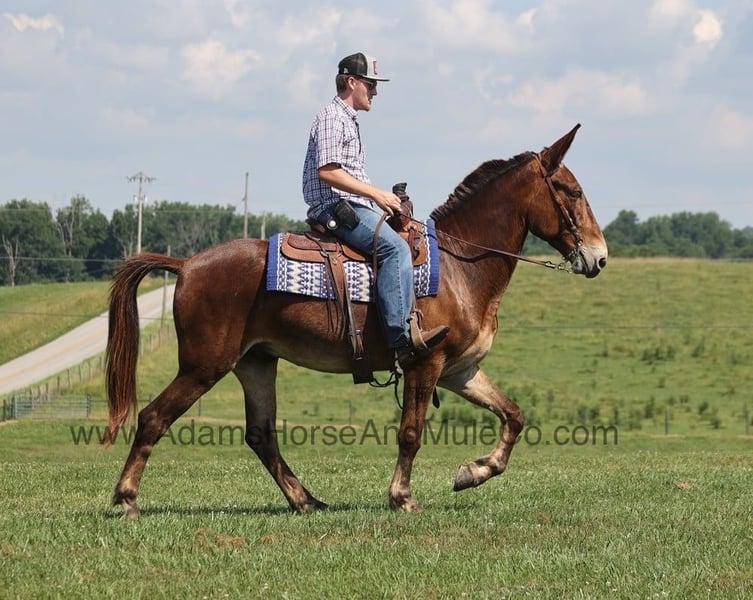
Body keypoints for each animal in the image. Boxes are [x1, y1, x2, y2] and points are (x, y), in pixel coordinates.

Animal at [105, 124, 608, 517]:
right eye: (572, 192)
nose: (600, 256)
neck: (460, 265)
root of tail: (187, 264)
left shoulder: (460, 370)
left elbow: (513, 415)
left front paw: (473, 472)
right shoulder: (425, 364)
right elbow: (410, 434)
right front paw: (401, 496)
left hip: (256, 363)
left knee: (261, 436)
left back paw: (305, 500)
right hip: (204, 366)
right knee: (153, 417)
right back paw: (127, 498)